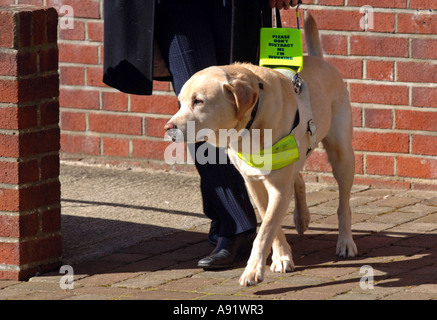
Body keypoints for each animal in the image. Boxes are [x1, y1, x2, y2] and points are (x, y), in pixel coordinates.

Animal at [165, 14, 356, 288]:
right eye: (180, 101)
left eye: (198, 101)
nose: (168, 128)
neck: (250, 125)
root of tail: (319, 60)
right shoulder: (253, 182)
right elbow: (271, 224)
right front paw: (281, 256)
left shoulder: (278, 186)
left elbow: (264, 230)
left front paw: (253, 269)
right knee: (298, 179)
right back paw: (302, 217)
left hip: (342, 155)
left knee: (343, 203)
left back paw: (345, 241)